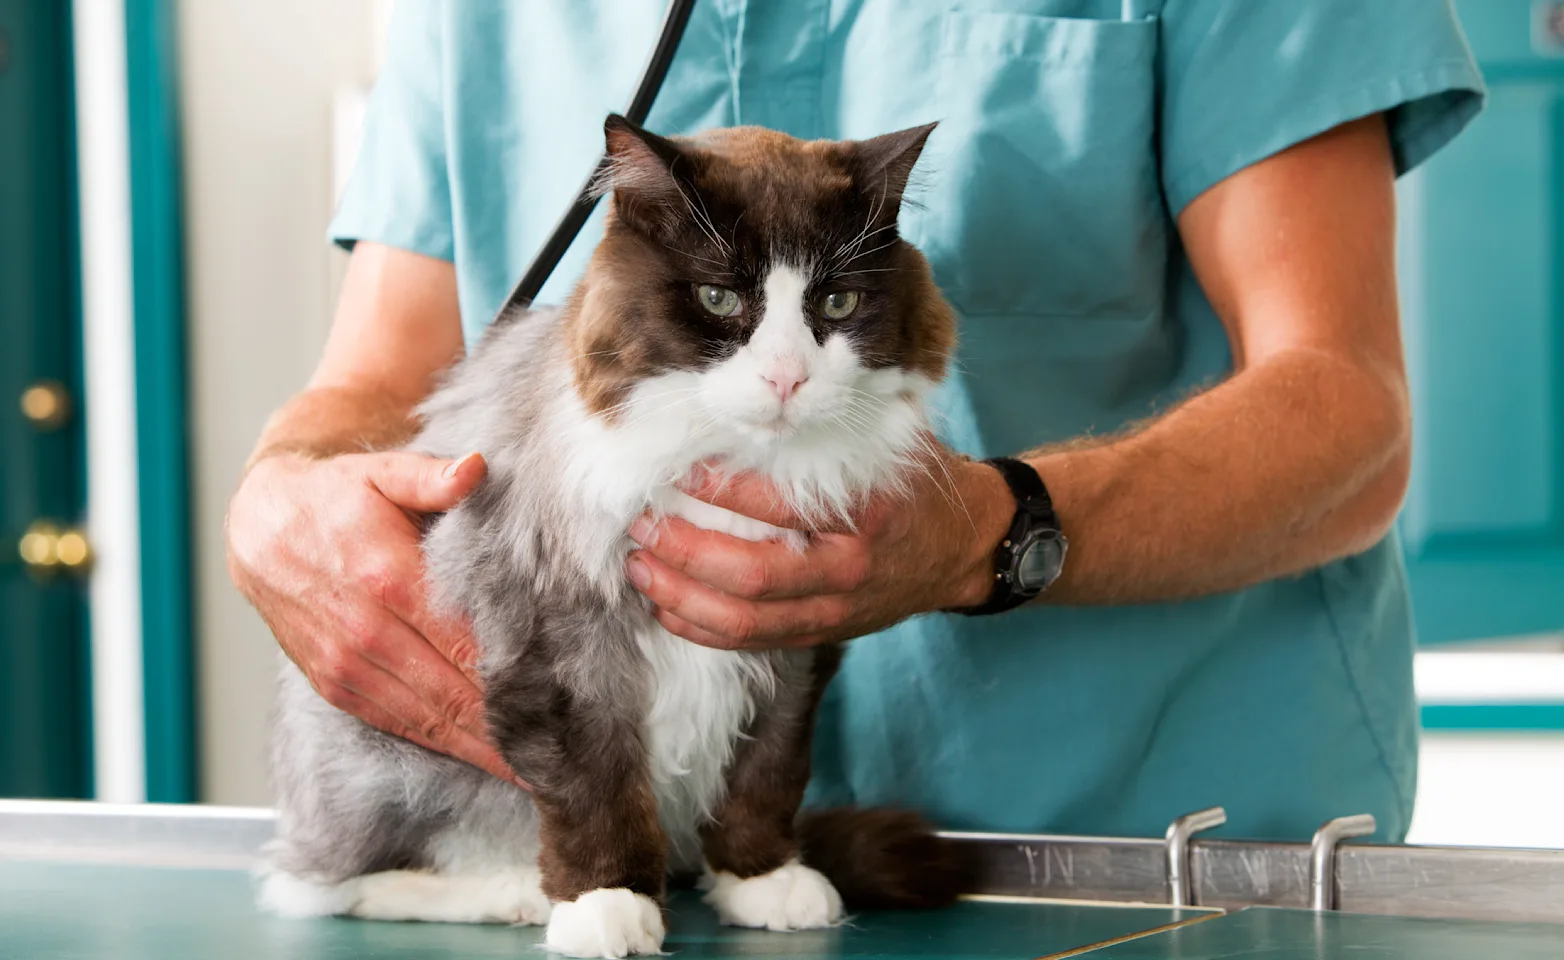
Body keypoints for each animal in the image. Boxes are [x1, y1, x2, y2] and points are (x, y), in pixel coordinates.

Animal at [259, 116, 963, 956]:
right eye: (719, 298)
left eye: (837, 301)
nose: (786, 379)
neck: (731, 462)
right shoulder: (561, 644)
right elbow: (594, 789)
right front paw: (607, 905)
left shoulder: (793, 644)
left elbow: (766, 773)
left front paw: (761, 878)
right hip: (389, 766)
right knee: (325, 884)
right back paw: (511, 893)